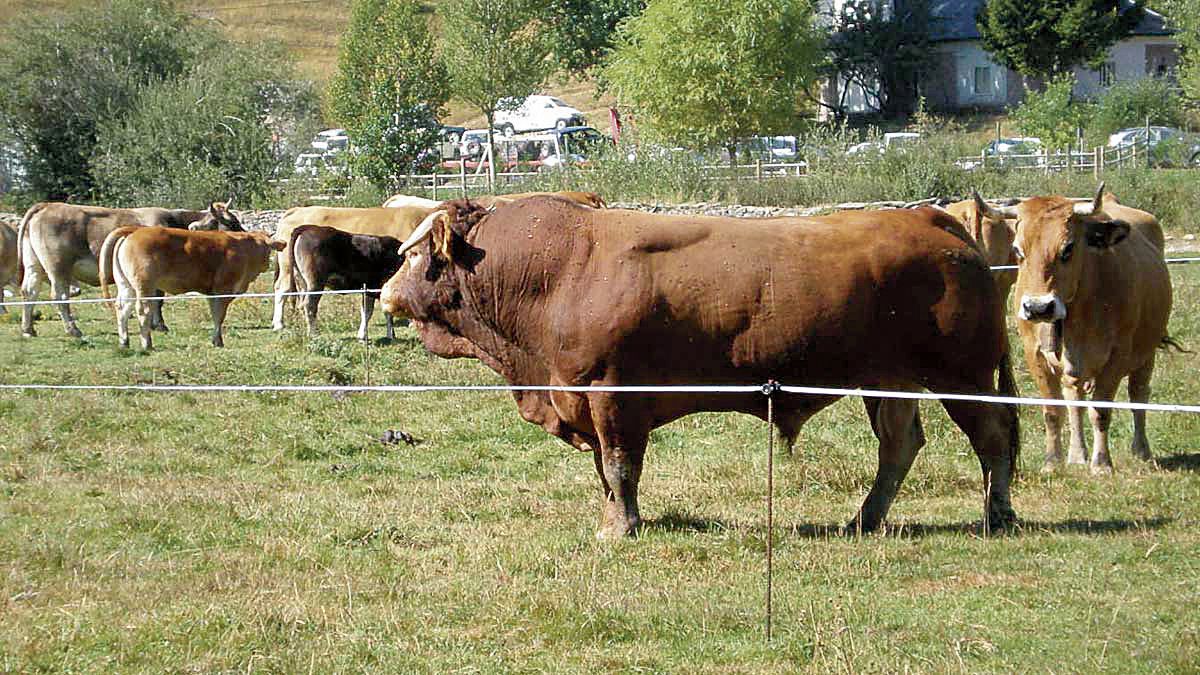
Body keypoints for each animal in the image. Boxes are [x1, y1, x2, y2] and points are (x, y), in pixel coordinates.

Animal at [17, 199, 242, 336]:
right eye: (231, 223)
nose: (244, 236)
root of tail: (47, 205)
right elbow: (157, 299)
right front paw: (160, 325)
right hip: (58, 267)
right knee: (59, 296)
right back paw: (73, 330)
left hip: (34, 265)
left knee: (29, 291)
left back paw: (28, 329)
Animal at [99, 227, 282, 353]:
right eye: (268, 249)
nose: (267, 264)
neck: (245, 247)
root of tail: (135, 230)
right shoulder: (223, 289)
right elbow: (219, 316)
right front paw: (218, 341)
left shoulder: (212, 292)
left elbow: (215, 315)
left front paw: (216, 340)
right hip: (144, 286)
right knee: (143, 310)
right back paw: (147, 344)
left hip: (126, 286)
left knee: (122, 309)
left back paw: (124, 342)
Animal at [379, 196, 1017, 538]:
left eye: (413, 255)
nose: (386, 293)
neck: (557, 271)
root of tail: (933, 221)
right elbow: (606, 474)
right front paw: (614, 520)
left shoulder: (611, 395)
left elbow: (619, 468)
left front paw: (621, 528)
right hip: (888, 379)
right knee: (900, 445)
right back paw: (863, 519)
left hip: (962, 377)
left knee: (992, 440)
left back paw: (997, 514)